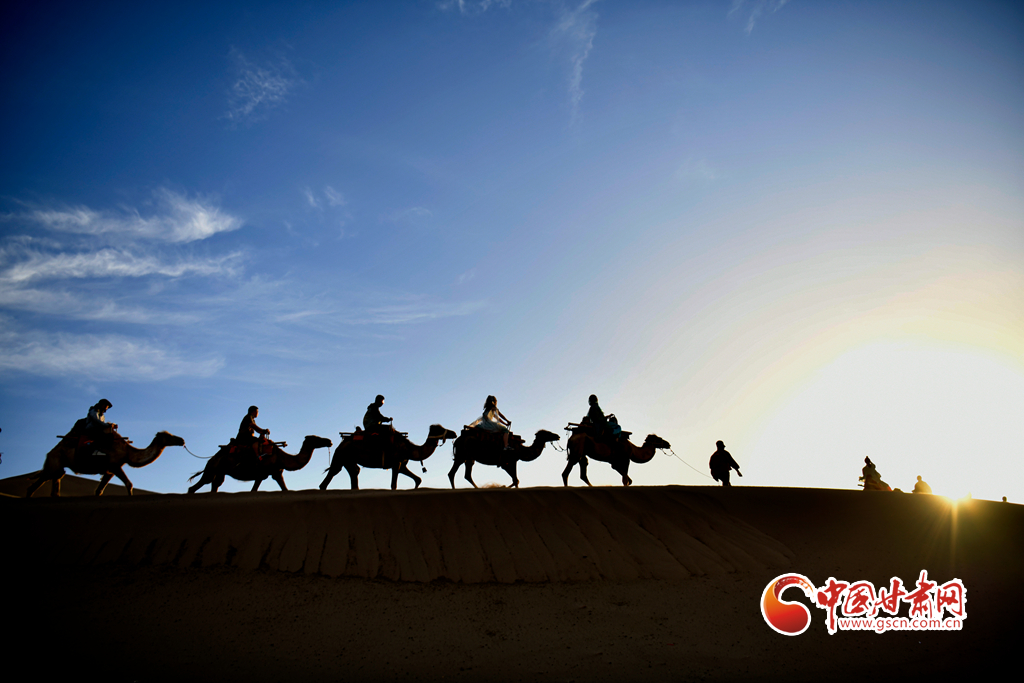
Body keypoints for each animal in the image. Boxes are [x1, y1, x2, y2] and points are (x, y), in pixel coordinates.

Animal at [27, 429, 185, 497]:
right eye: (168, 436)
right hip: (55, 462)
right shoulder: (115, 465)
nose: (182, 440)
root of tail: (50, 453)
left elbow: (99, 490)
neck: (128, 452)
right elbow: (129, 484)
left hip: (58, 467)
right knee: (38, 483)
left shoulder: (110, 470)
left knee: (52, 485)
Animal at [187, 435, 333, 493]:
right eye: (316, 438)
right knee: (196, 486)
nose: (329, 441)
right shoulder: (265, 473)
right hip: (212, 469)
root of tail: (211, 459)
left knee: (215, 485)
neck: (281, 457)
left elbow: (284, 489)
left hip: (220, 473)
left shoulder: (273, 473)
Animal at [319, 424, 457, 491]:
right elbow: (393, 485)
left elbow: (418, 479)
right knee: (333, 473)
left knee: (354, 472)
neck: (409, 449)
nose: (454, 433)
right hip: (341, 456)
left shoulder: (402, 465)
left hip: (348, 459)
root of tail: (341, 443)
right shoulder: (396, 463)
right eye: (441, 429)